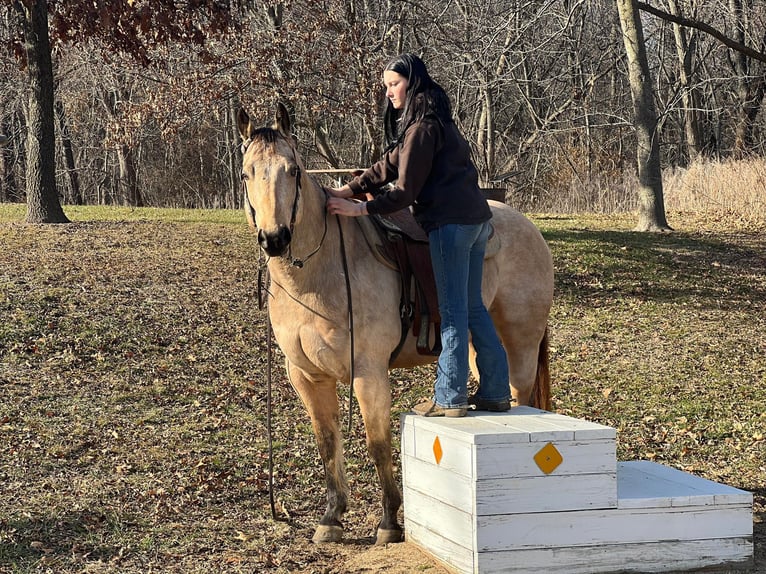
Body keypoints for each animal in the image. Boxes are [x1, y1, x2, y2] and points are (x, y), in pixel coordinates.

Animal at [237, 104, 556, 548]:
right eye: (247, 173)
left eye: (293, 170)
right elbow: (327, 443)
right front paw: (332, 518)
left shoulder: (369, 373)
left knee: (520, 392)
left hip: (522, 344)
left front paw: (389, 522)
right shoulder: (307, 376)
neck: (318, 273)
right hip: (478, 345)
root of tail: (529, 228)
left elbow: (377, 445)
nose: (274, 238)